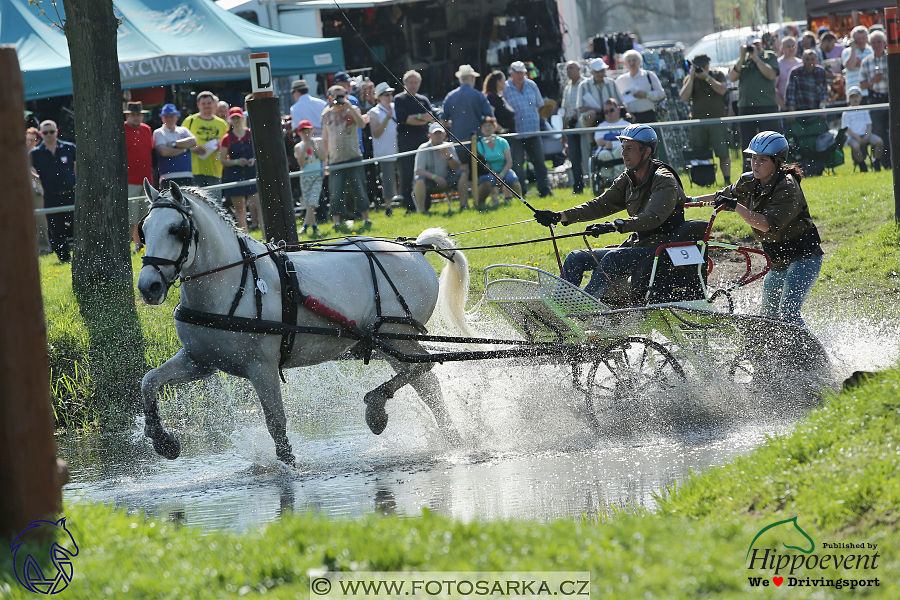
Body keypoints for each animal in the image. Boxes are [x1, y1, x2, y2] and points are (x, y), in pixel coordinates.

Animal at [135, 180, 472, 466]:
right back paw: (450, 437)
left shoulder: (262, 367)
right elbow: (149, 381)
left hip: (395, 335)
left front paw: (288, 466)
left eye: (177, 229)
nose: (148, 286)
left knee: (424, 368)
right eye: (144, 231)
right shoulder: (200, 361)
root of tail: (415, 248)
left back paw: (377, 408)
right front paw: (161, 439)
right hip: (382, 342)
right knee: (425, 380)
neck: (233, 283)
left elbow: (276, 423)